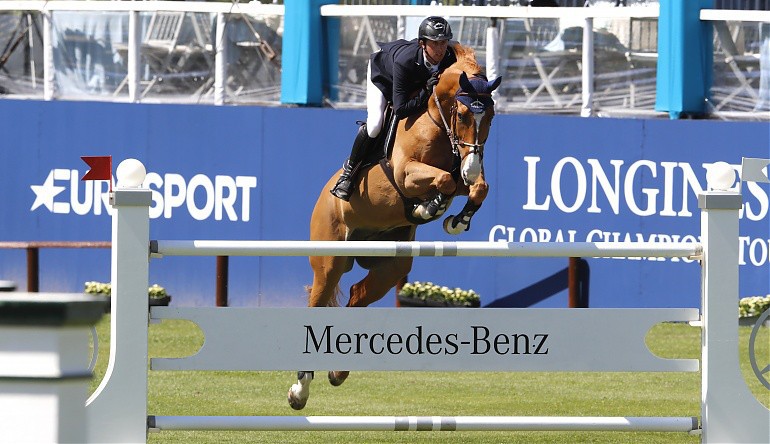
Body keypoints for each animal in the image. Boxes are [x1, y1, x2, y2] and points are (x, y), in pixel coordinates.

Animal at [286, 44, 498, 410]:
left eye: (492, 116)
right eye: (462, 115)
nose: (471, 166)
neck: (437, 120)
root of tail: (323, 198)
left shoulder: (463, 176)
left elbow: (476, 188)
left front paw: (456, 220)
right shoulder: (405, 173)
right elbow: (442, 180)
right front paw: (430, 206)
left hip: (391, 266)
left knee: (357, 296)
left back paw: (338, 371)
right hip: (329, 260)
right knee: (319, 300)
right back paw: (301, 389)